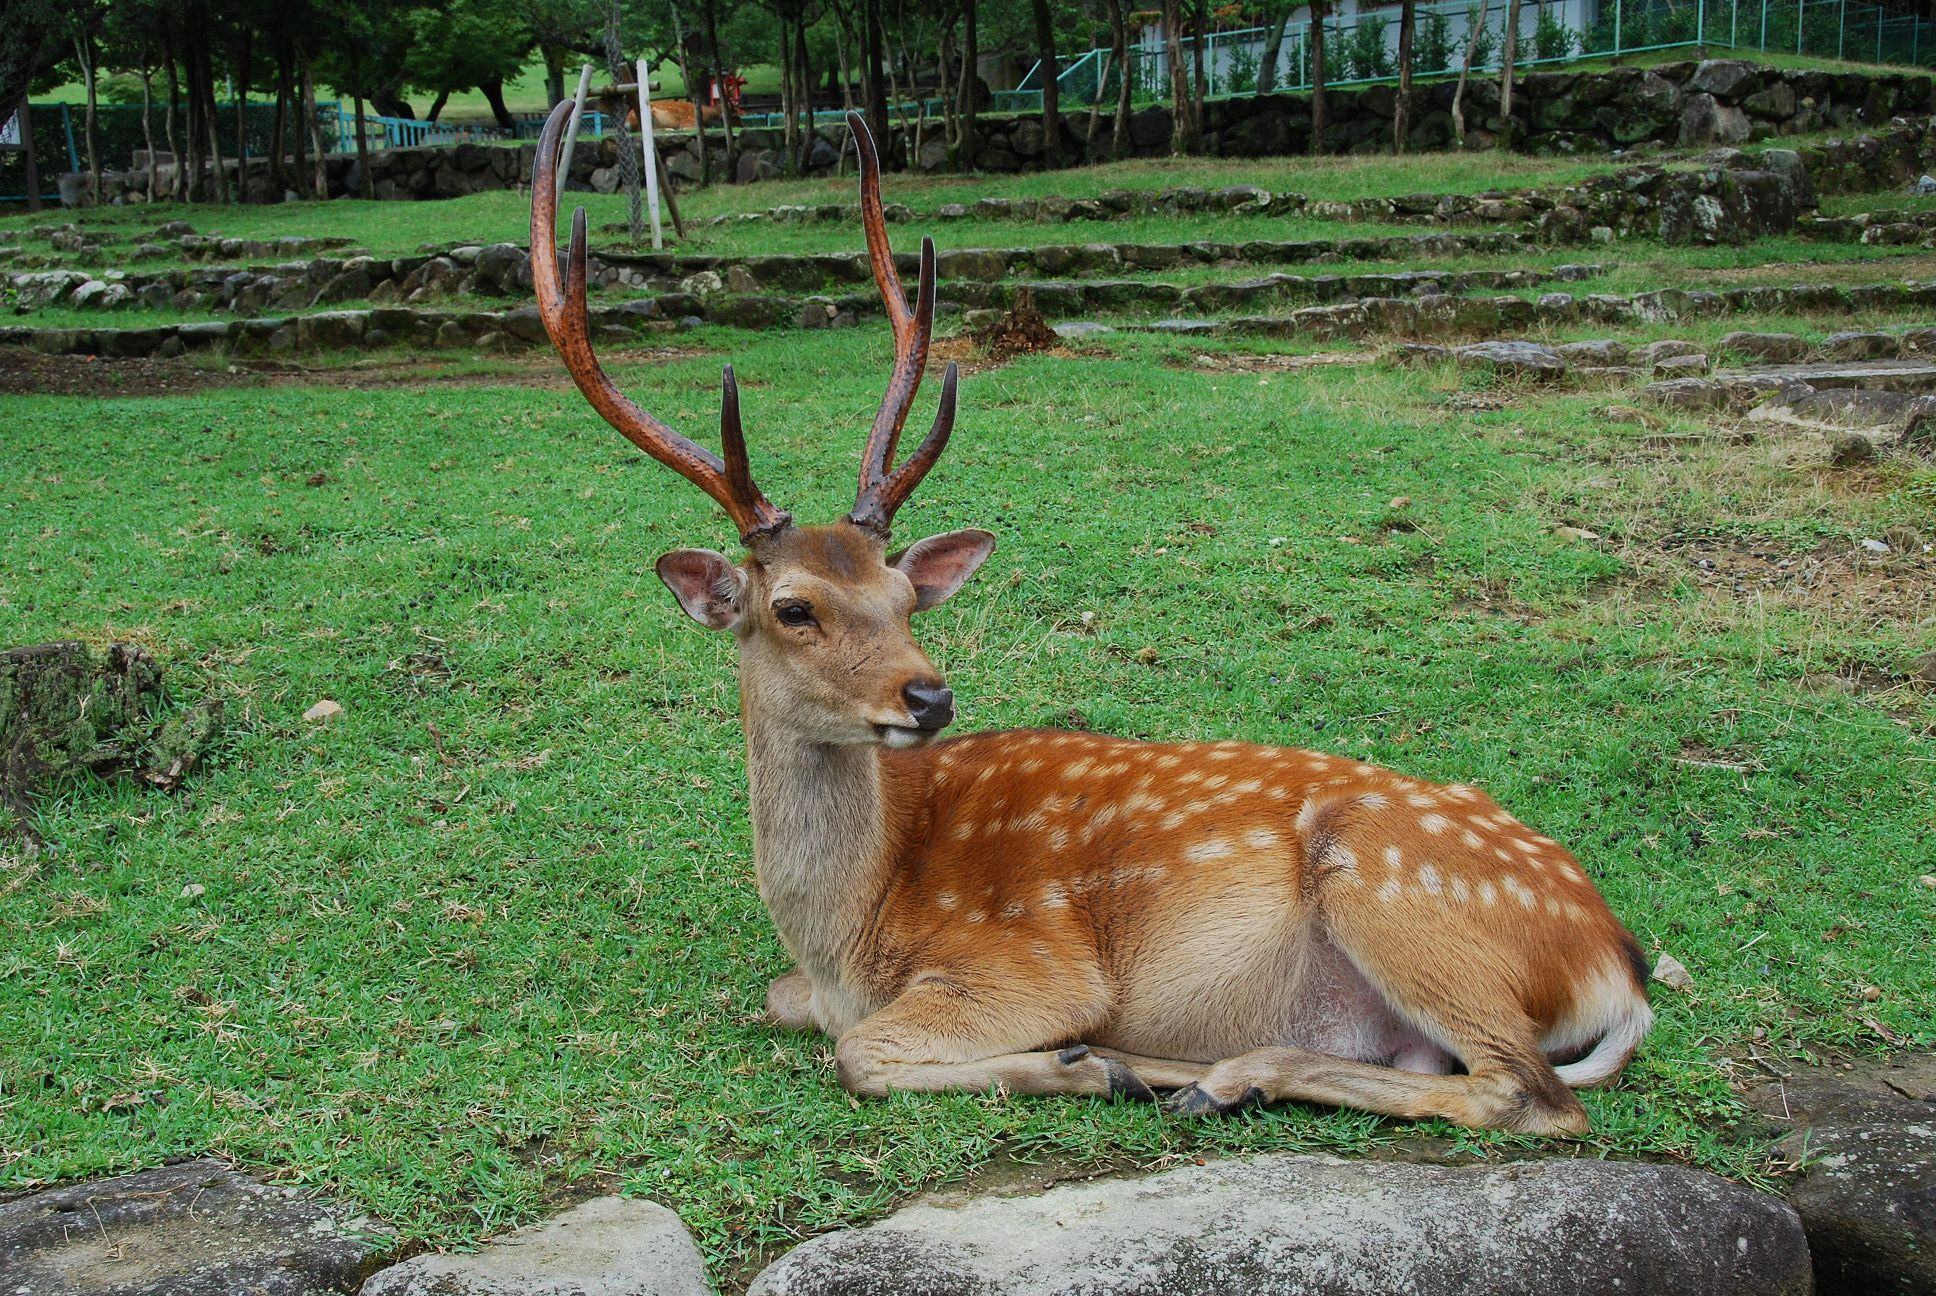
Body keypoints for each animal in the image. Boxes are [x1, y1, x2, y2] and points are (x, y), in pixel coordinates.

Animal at [526, 101, 1649, 1131]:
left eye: (902, 594)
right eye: (793, 607)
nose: (928, 698)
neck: (849, 934)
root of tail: (1618, 967)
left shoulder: (1029, 962)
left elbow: (860, 1051)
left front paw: (1080, 1061)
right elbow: (782, 1003)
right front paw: (1101, 1063)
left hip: (1397, 896)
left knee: (1528, 1095)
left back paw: (1186, 1072)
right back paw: (1213, 1074)